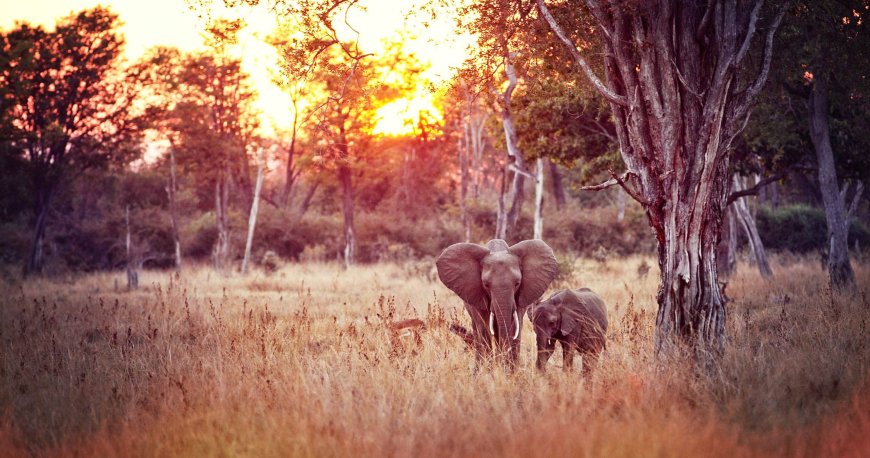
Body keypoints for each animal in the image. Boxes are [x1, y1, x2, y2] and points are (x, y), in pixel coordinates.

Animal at [436, 240, 560, 368]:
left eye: (517, 283)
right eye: (486, 284)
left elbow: (515, 327)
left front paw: (509, 370)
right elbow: (484, 328)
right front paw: (488, 369)